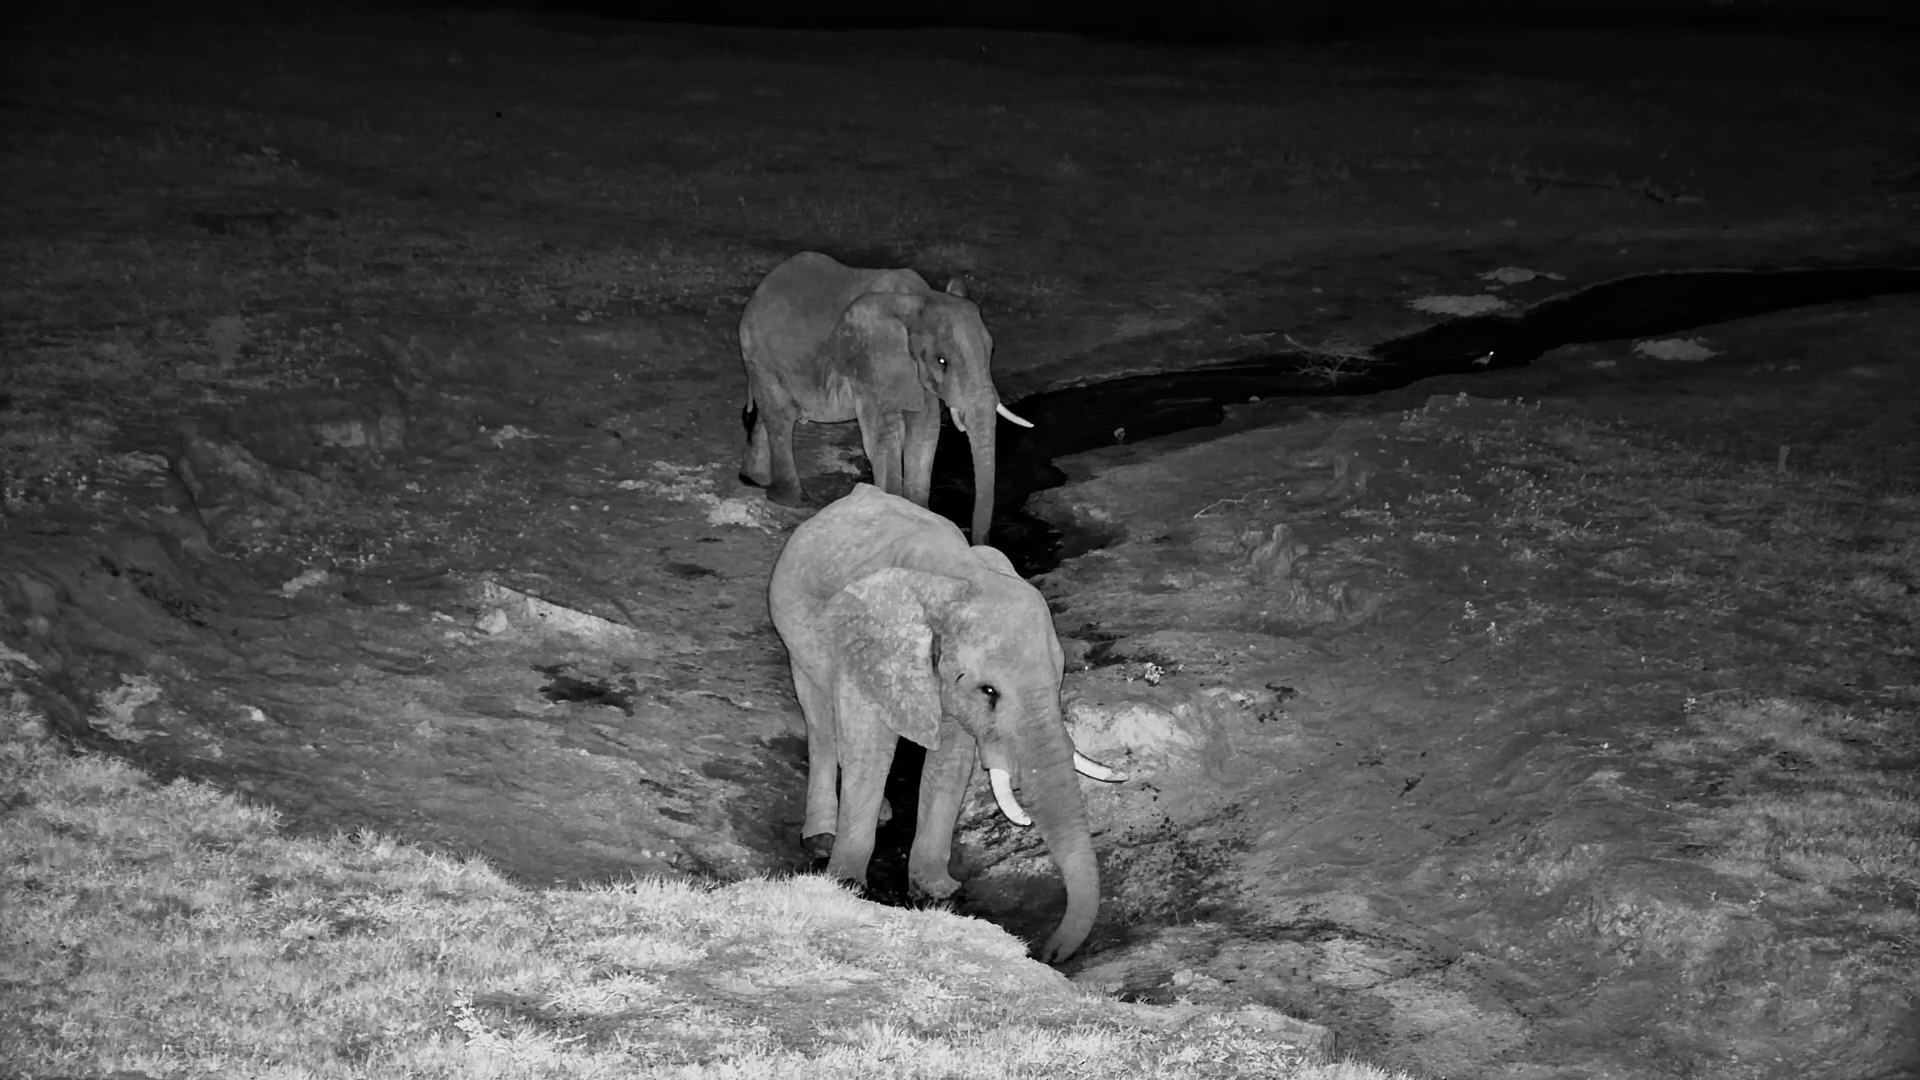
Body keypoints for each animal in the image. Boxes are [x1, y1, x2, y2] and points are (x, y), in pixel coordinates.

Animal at [737, 251, 1032, 546]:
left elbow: (925, 432)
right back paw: (790, 499)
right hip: (758, 353)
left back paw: (754, 479)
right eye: (942, 361)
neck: (920, 299)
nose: (981, 544)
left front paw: (921, 515)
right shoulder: (871, 364)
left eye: (991, 351)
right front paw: (894, 511)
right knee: (780, 418)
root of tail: (762, 288)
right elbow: (884, 437)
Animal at [768, 483, 1126, 963]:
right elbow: (870, 746)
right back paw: (824, 835)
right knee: (821, 721)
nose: (1045, 953)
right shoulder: (868, 649)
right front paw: (846, 885)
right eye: (989, 691)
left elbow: (950, 761)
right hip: (794, 634)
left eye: (1060, 678)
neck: (956, 581)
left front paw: (937, 894)